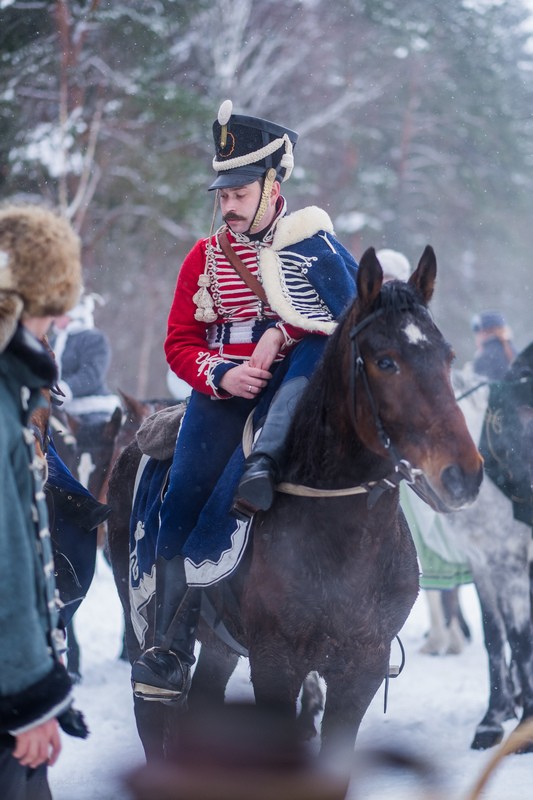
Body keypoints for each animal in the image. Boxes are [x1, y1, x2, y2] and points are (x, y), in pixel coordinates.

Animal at [105, 248, 482, 764]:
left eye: (447, 357)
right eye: (386, 361)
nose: (463, 474)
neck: (341, 534)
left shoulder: (361, 668)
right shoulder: (275, 664)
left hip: (221, 647)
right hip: (140, 629)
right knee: (153, 714)